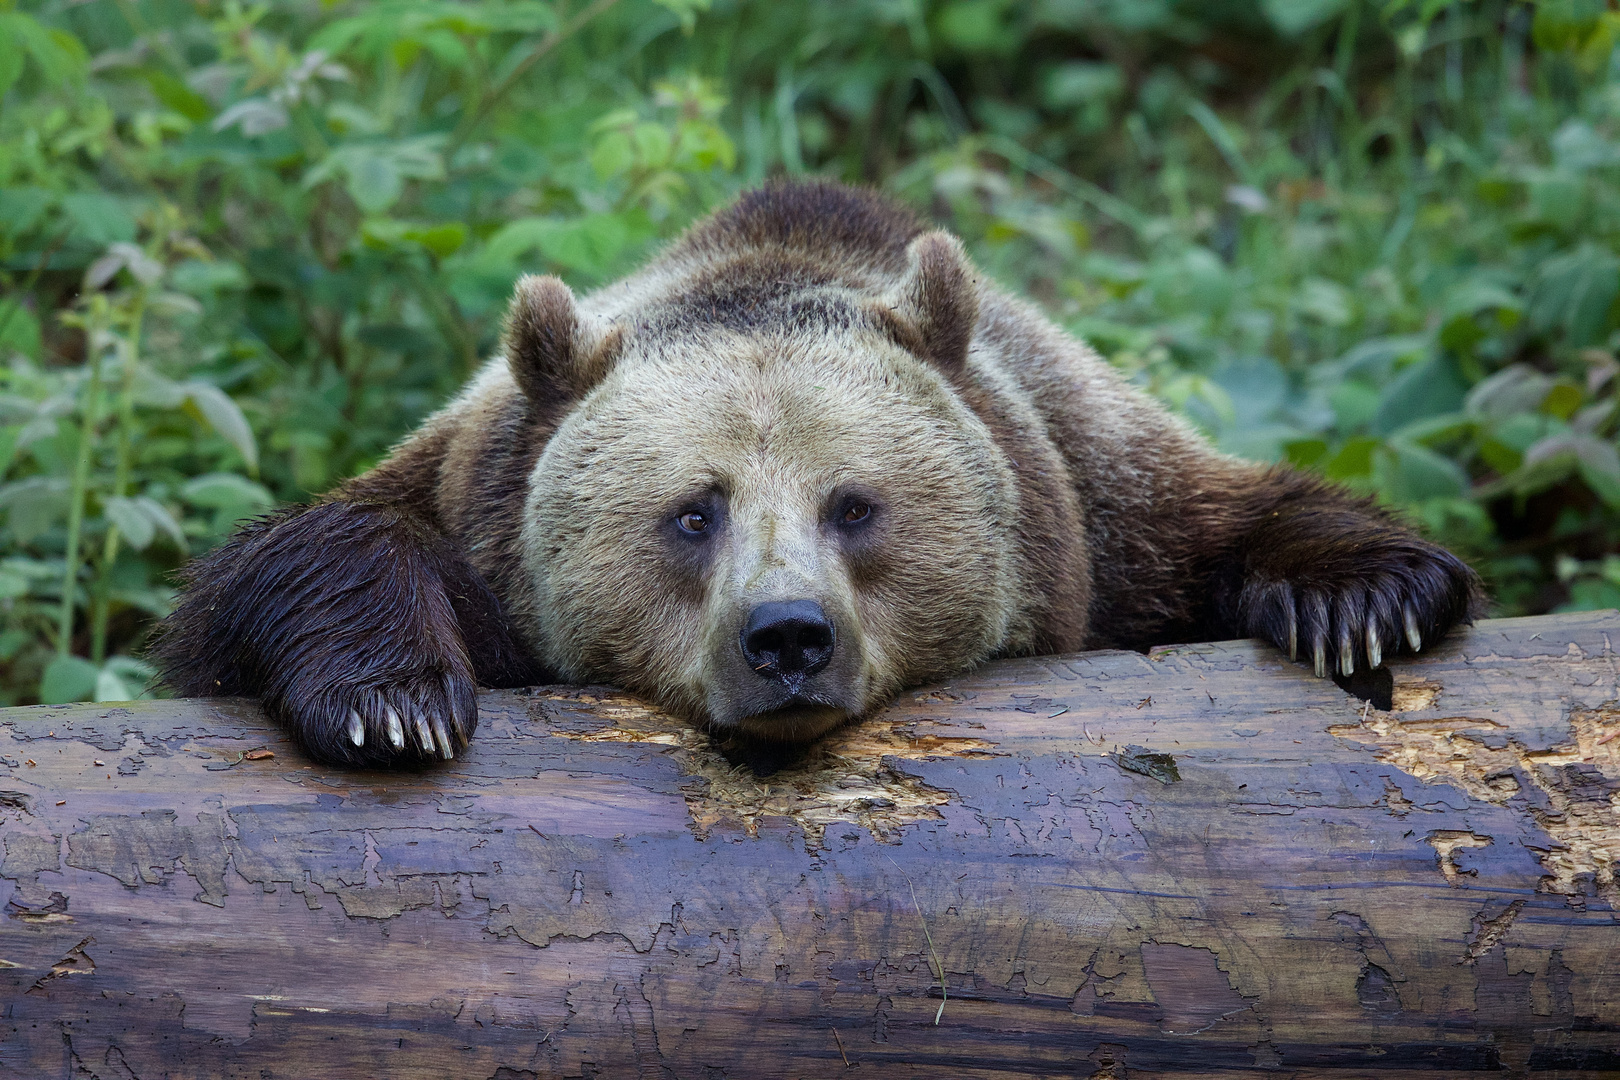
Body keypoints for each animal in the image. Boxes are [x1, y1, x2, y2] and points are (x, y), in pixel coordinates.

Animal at [152, 179, 1483, 767]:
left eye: (855, 505)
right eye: (693, 513)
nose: (787, 637)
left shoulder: (1093, 498)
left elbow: (1234, 513)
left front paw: (1361, 606)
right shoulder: (473, 485)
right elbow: (301, 558)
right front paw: (394, 701)